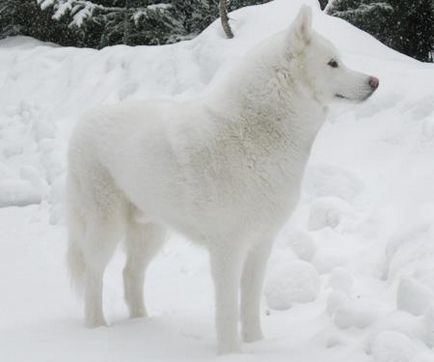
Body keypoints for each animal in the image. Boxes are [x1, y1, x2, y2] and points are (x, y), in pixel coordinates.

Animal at [66, 5, 378, 354]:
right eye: (332, 63)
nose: (375, 81)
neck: (257, 131)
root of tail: (83, 121)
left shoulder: (260, 245)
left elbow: (250, 306)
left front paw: (257, 346)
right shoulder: (227, 249)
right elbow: (228, 310)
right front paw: (230, 352)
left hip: (151, 233)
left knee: (130, 273)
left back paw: (142, 324)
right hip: (105, 229)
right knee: (94, 275)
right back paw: (98, 329)